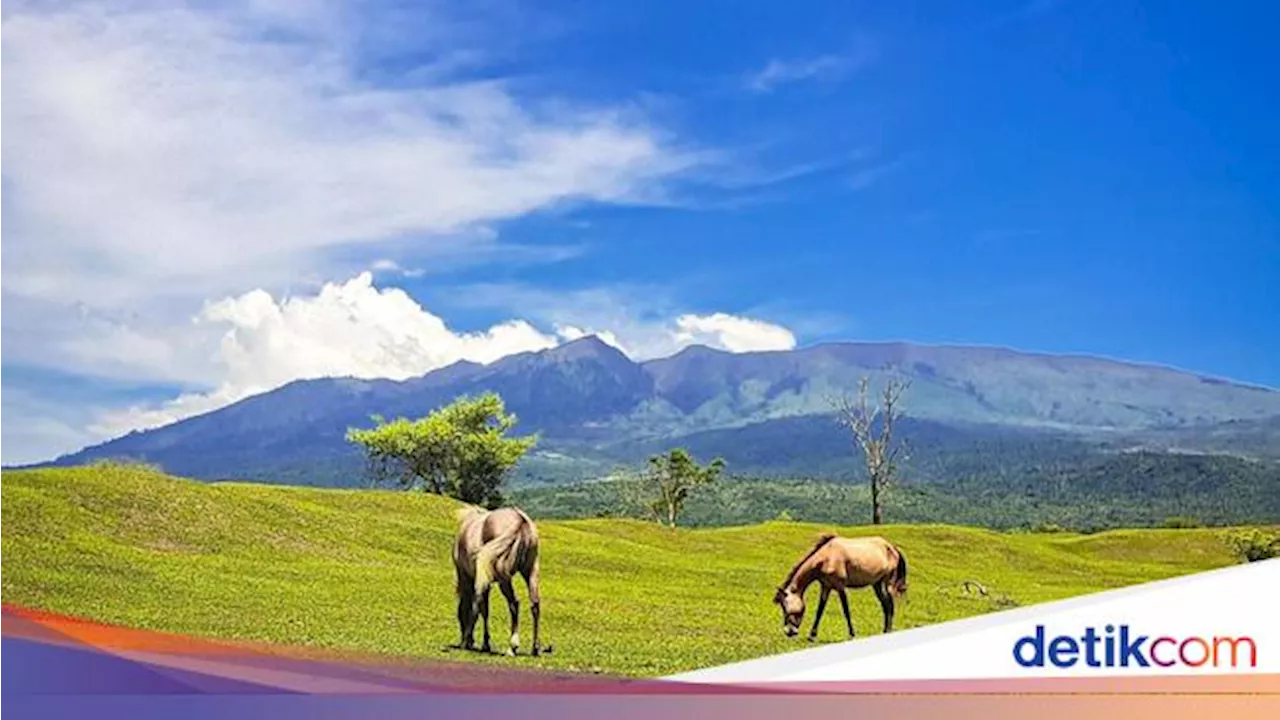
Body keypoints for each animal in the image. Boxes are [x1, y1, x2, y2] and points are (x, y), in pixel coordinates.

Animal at [453, 502, 542, 653]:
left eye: (459, 618)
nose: (466, 641)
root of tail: (520, 520)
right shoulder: (486, 582)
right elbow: (484, 610)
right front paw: (485, 643)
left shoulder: (469, 577)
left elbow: (478, 608)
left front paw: (472, 641)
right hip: (530, 571)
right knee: (535, 604)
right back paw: (535, 647)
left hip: (504, 579)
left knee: (514, 603)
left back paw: (513, 646)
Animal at [773, 530, 906, 635]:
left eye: (785, 607)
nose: (789, 631)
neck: (827, 557)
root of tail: (892, 547)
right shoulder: (826, 586)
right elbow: (820, 609)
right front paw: (812, 635)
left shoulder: (840, 587)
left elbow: (846, 610)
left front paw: (852, 634)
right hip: (877, 584)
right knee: (885, 604)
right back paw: (885, 630)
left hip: (885, 583)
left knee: (890, 604)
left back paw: (887, 630)